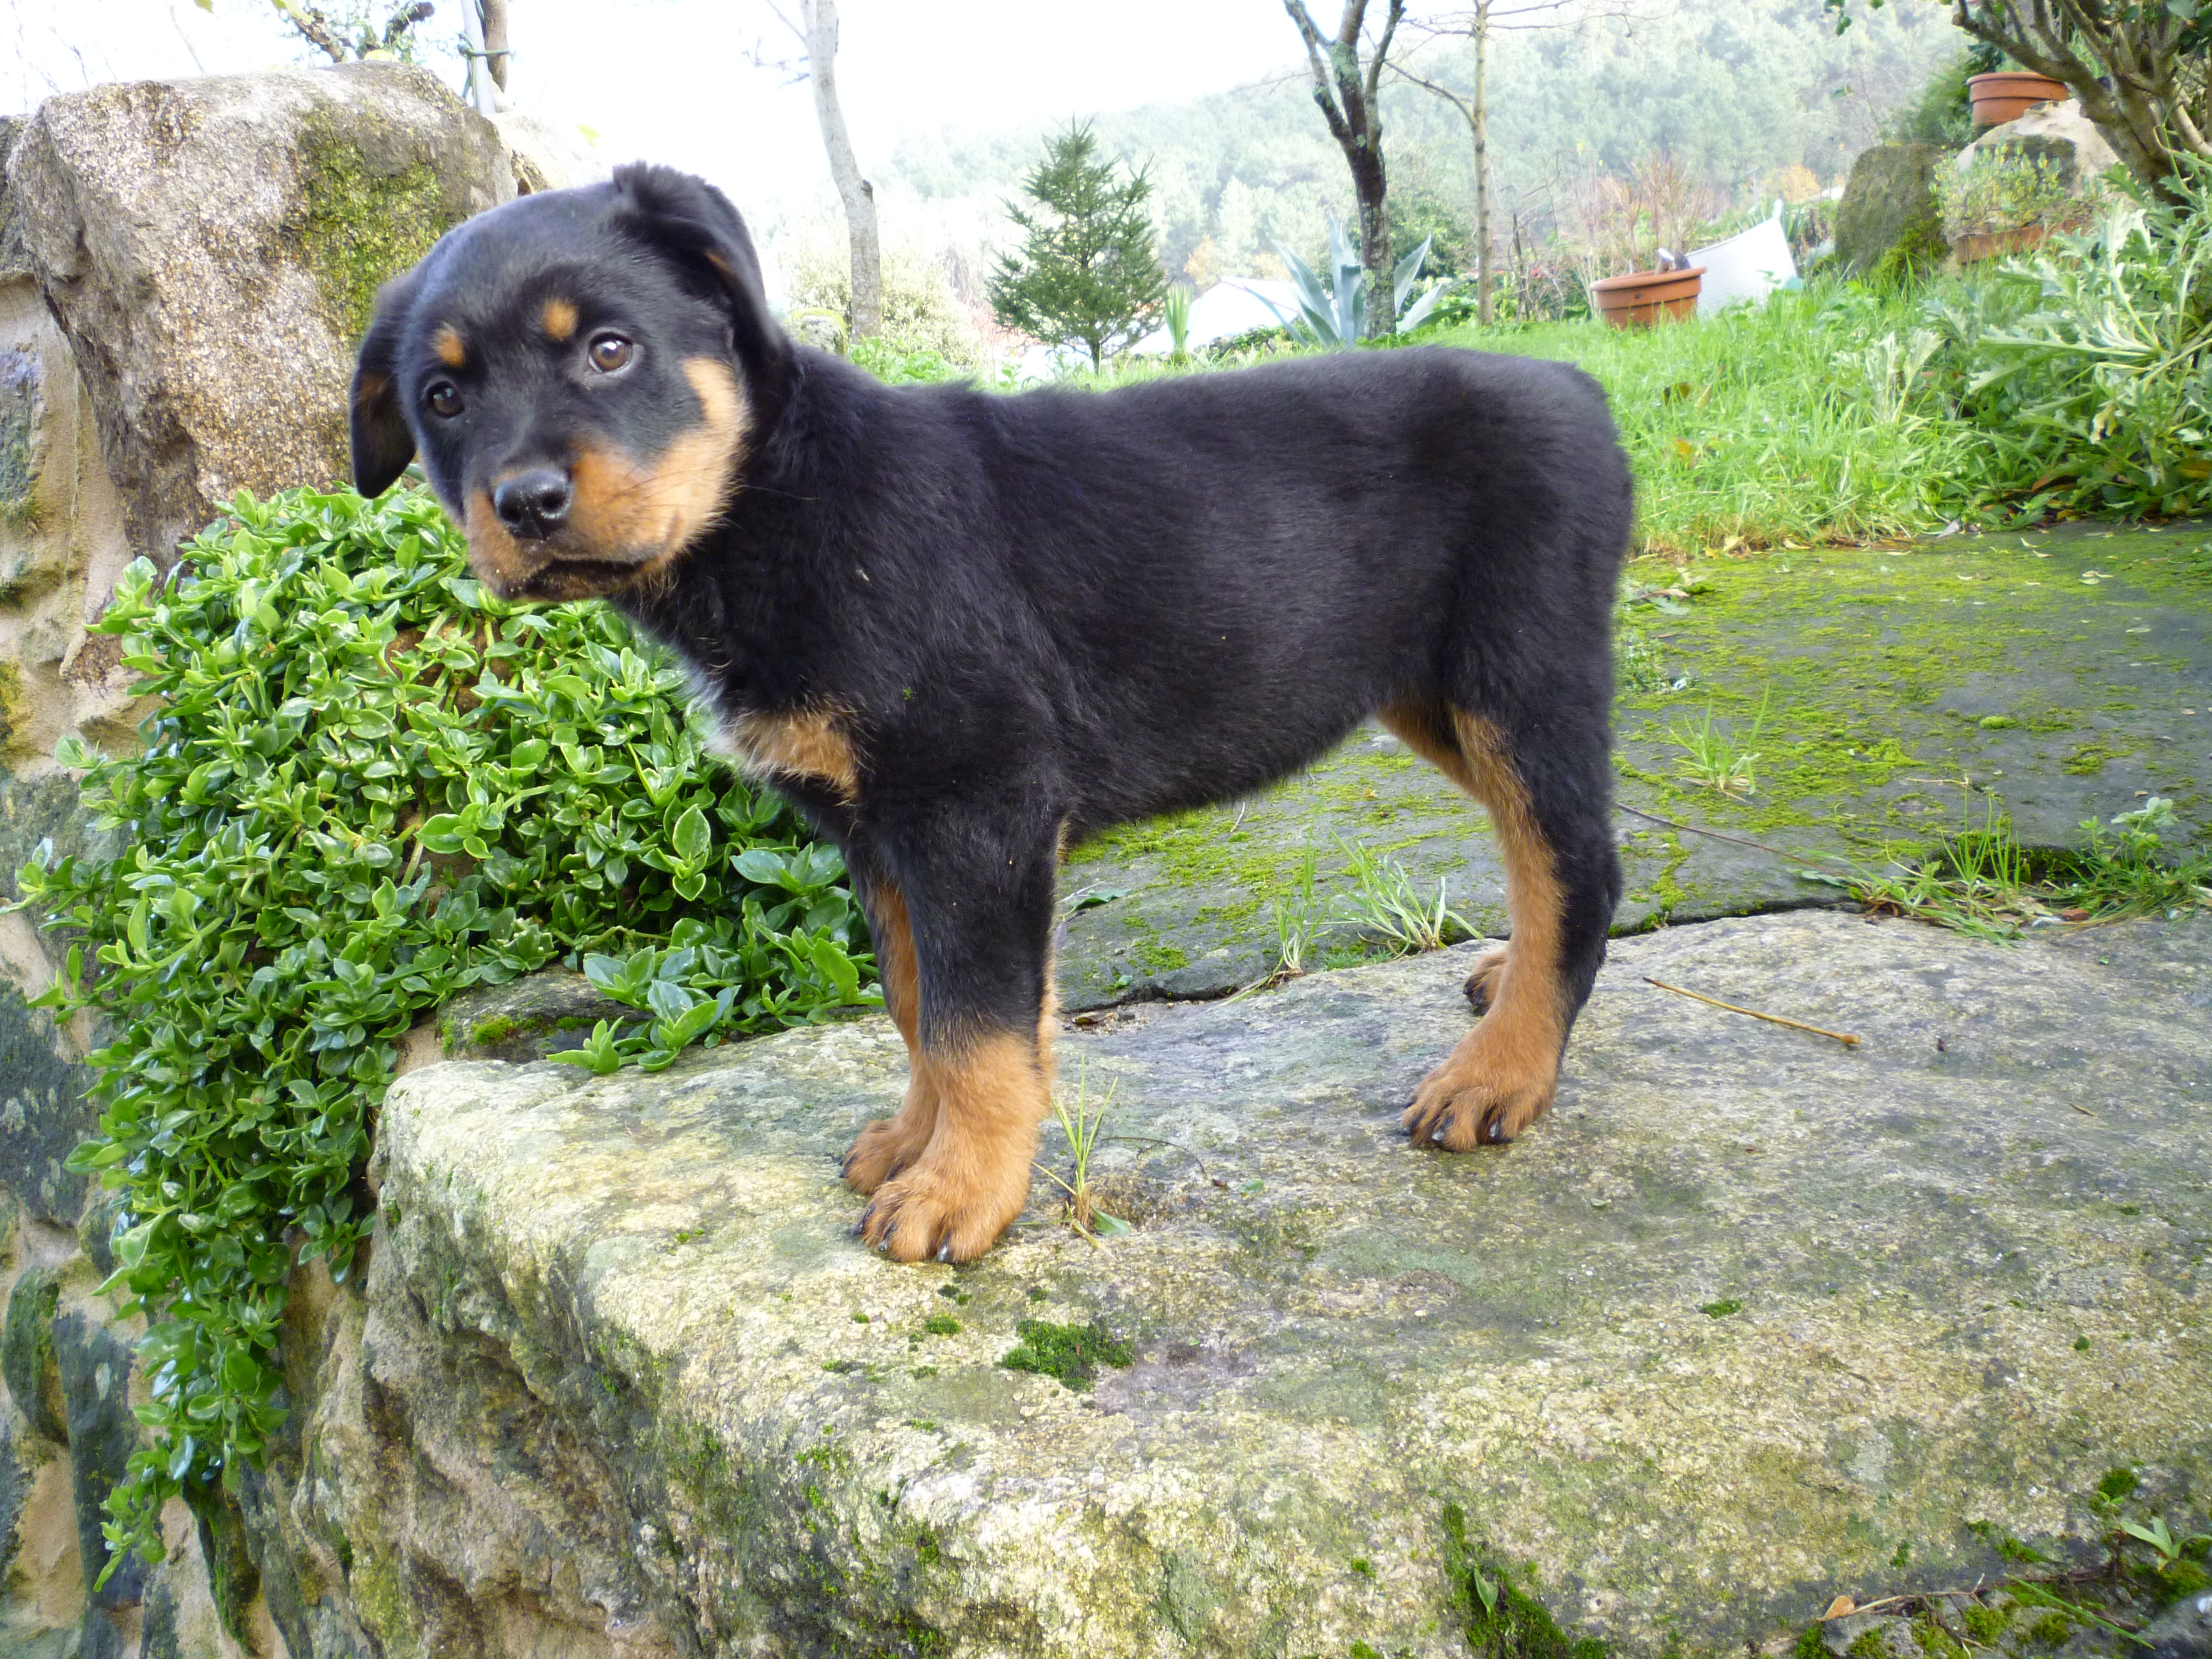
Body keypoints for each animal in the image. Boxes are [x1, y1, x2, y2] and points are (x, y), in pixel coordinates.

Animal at [345, 166, 1628, 1256]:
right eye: (441, 398)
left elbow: (976, 1025)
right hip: (1428, 693)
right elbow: (922, 1004)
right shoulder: (881, 832)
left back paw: (1499, 1071)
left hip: (1519, 673)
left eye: (610, 350)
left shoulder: (974, 805)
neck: (778, 507)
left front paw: (960, 1194)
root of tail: (1577, 384)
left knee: (1575, 865)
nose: (524, 503)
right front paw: (918, 1146)